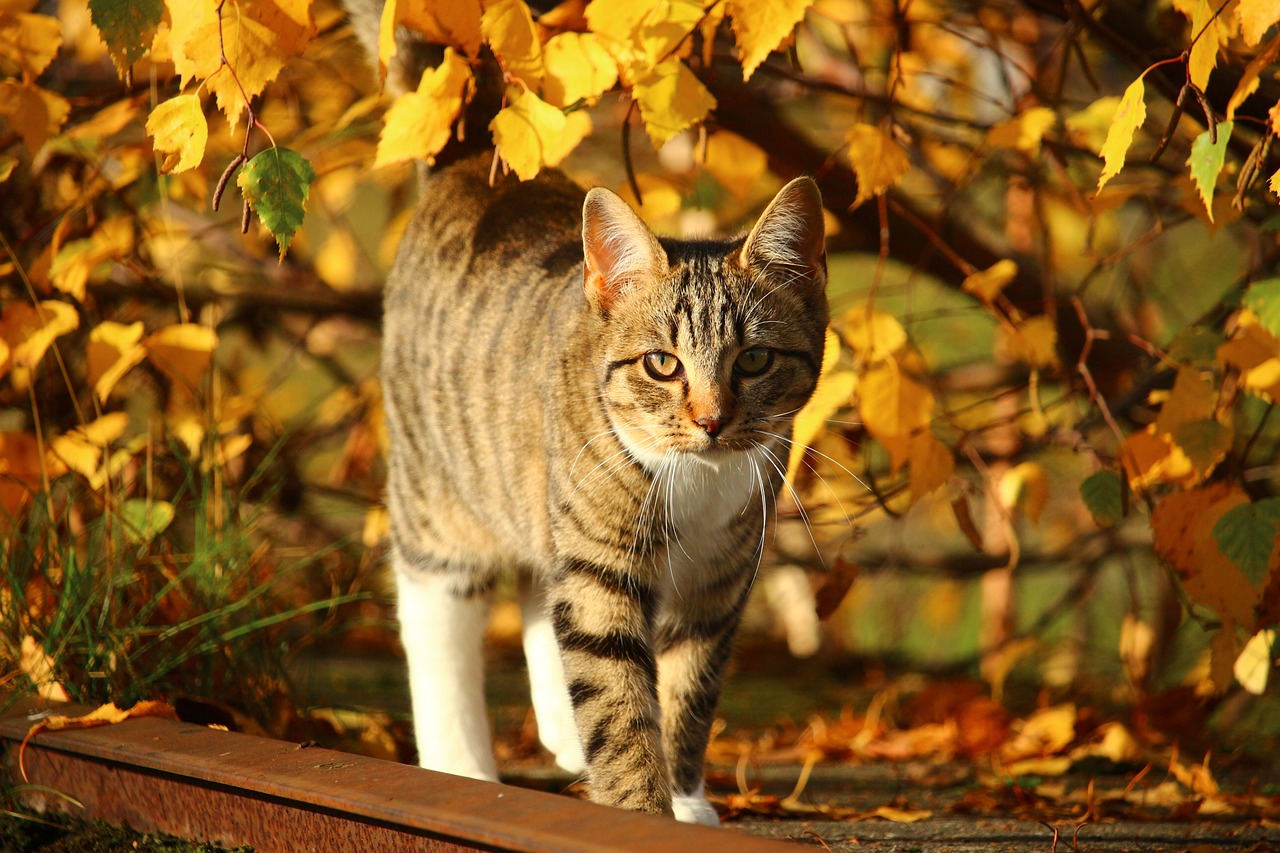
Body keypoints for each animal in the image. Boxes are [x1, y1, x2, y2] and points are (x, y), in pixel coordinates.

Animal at [360, 4, 829, 824]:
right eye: (662, 365)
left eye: (754, 361)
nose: (711, 419)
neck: (696, 482)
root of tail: (472, 169)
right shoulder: (601, 561)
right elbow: (617, 699)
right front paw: (642, 810)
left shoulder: (719, 583)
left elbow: (685, 692)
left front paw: (686, 799)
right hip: (440, 493)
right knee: (437, 613)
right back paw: (459, 763)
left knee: (542, 593)